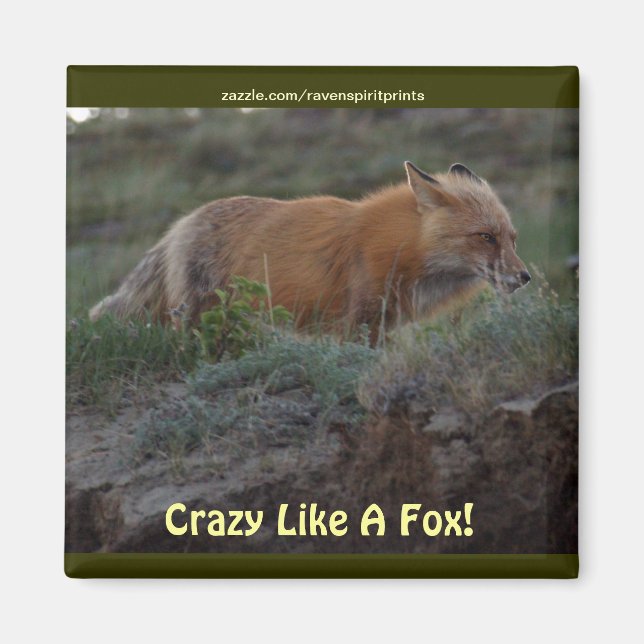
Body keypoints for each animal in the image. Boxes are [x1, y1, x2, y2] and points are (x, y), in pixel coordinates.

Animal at [90, 161, 530, 339]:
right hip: (202, 315)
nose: (525, 277)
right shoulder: (359, 321)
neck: (404, 249)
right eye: (485, 237)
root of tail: (182, 222)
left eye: (512, 238)